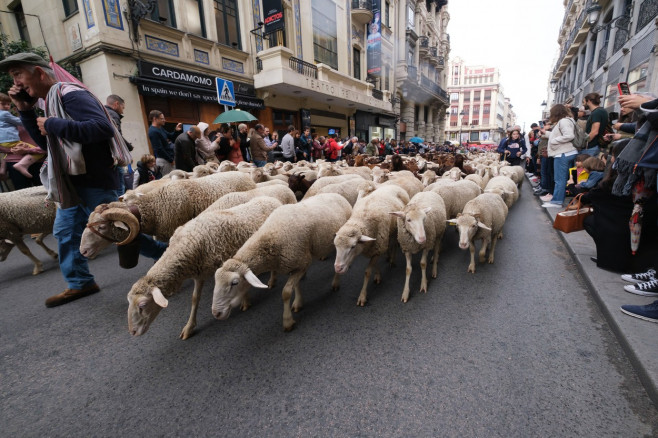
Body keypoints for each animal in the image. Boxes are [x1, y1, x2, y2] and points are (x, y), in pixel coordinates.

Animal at [127, 197, 284, 340]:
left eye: (142, 305)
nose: (133, 332)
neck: (187, 244)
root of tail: (271, 199)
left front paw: (245, 300)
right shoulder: (199, 273)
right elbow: (195, 299)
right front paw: (189, 327)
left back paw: (272, 280)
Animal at [213, 193, 352, 330]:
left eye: (234, 283)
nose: (216, 313)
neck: (271, 238)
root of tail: (337, 195)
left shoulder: (303, 263)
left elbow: (286, 293)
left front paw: (288, 321)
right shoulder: (295, 265)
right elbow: (296, 286)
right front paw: (298, 303)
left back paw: (336, 282)